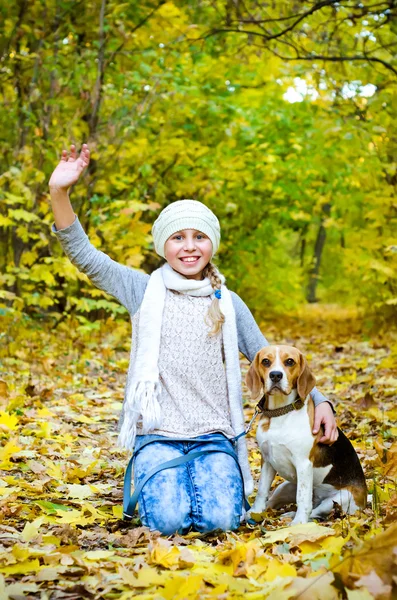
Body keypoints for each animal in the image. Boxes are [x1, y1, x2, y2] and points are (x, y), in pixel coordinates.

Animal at [246, 344, 366, 524]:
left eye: (290, 361)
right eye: (266, 361)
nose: (275, 375)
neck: (281, 412)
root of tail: (366, 499)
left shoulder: (303, 464)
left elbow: (302, 498)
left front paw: (298, 524)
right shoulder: (267, 460)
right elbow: (262, 491)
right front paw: (255, 512)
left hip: (339, 499)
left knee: (315, 512)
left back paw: (298, 519)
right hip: (285, 486)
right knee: (272, 502)